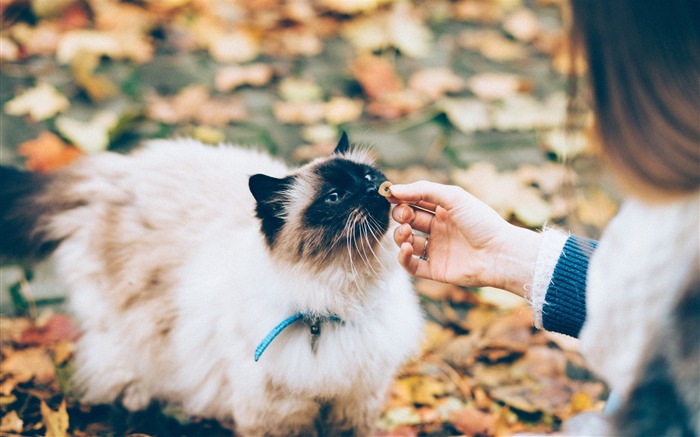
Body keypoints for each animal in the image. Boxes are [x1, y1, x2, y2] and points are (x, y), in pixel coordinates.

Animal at [0, 134, 422, 436]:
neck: (338, 302)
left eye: (367, 177)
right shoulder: (278, 415)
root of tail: (115, 171)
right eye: (335, 197)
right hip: (132, 332)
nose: (373, 189)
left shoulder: (355, 403)